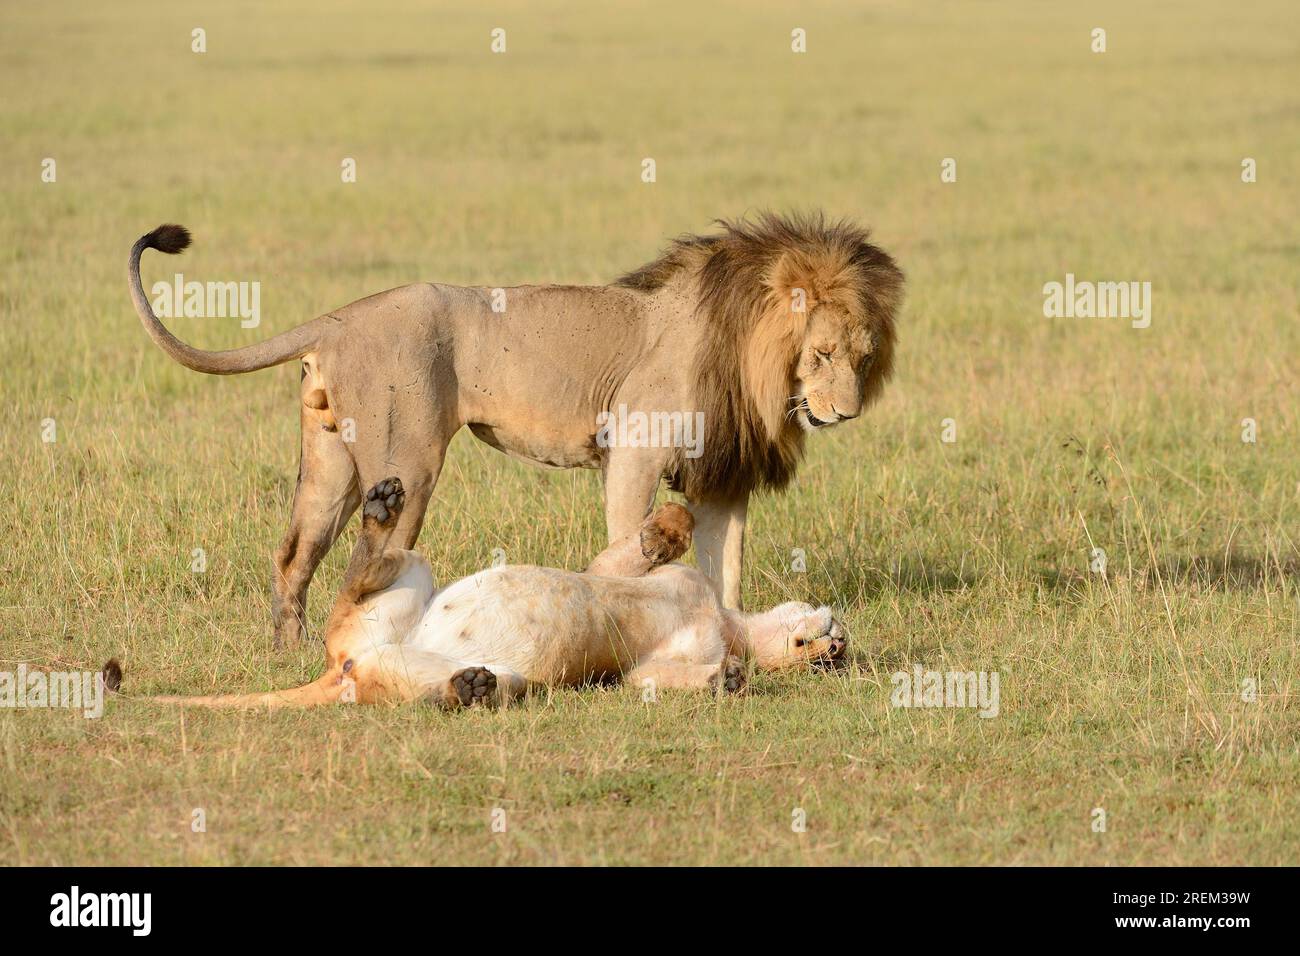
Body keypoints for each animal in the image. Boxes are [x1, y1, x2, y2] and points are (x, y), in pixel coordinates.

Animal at [127, 481, 846, 708]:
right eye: (827, 658)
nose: (836, 647)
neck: (726, 622)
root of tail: (341, 667)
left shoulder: (632, 672)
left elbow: (654, 678)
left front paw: (727, 680)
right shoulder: (624, 573)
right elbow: (636, 548)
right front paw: (667, 524)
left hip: (435, 664)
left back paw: (470, 688)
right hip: (412, 575)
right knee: (357, 573)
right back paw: (382, 510)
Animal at [128, 213, 903, 645]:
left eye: (863, 357)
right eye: (821, 354)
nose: (846, 412)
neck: (745, 353)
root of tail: (339, 318)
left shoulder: (724, 479)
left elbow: (727, 570)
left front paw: (735, 623)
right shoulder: (635, 447)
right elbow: (628, 538)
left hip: (330, 462)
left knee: (296, 554)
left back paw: (285, 649)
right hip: (408, 459)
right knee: (371, 552)